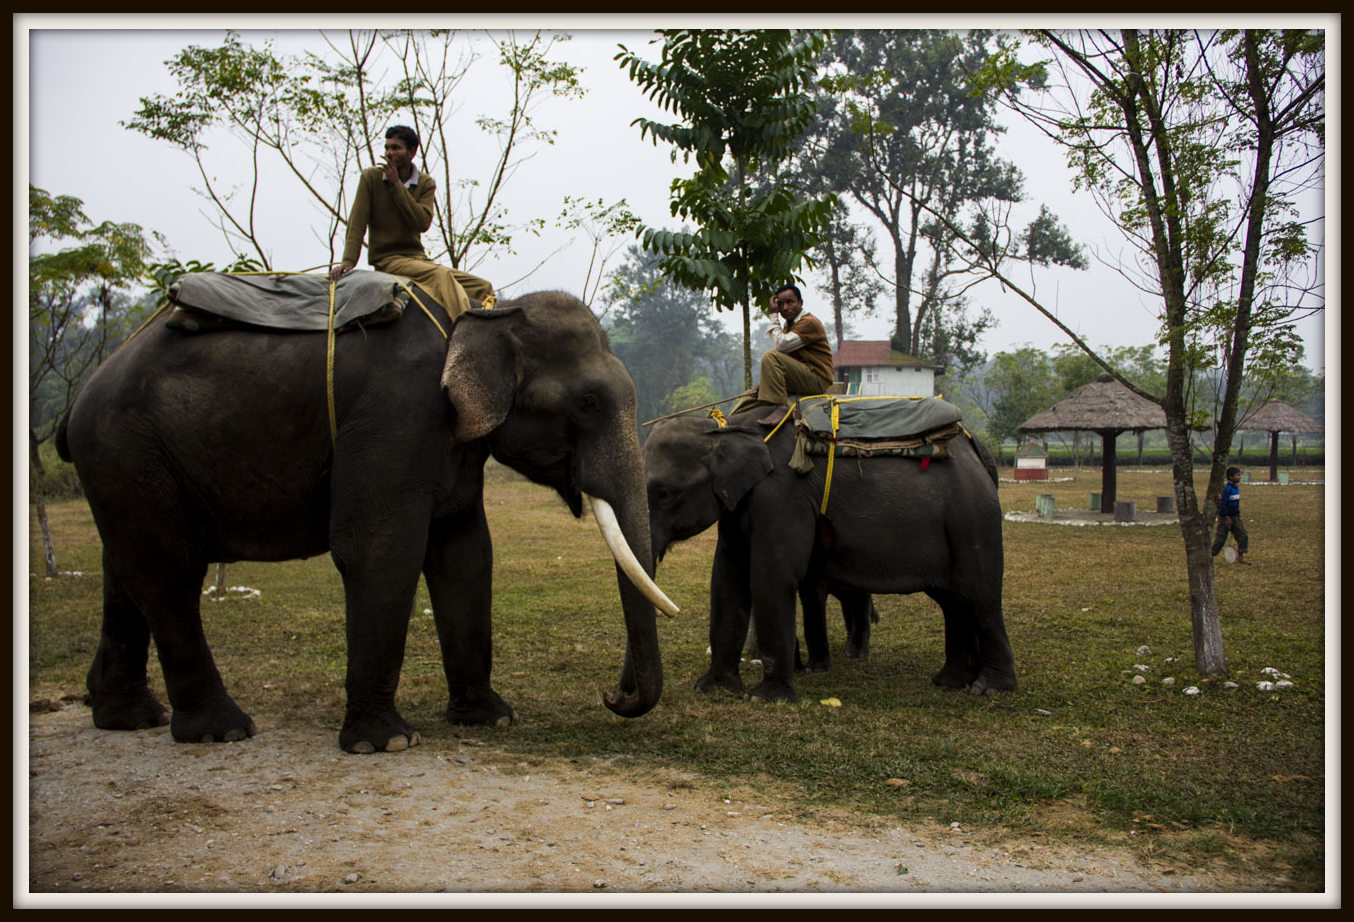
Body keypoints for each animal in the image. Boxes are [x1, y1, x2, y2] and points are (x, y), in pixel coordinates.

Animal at [57, 286, 675, 753]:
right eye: (588, 403)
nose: (610, 696)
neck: (479, 311)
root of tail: (82, 393)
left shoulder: (451, 444)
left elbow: (465, 552)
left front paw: (492, 718)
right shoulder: (398, 415)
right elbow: (379, 549)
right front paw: (387, 743)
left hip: (127, 465)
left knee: (126, 567)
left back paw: (131, 718)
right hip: (125, 448)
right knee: (169, 572)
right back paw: (222, 731)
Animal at [644, 408, 1015, 703]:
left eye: (664, 493)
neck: (729, 427)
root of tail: (979, 451)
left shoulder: (783, 496)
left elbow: (771, 577)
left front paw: (767, 699)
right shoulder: (737, 507)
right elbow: (726, 579)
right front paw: (713, 688)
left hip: (972, 517)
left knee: (980, 594)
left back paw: (990, 688)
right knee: (953, 600)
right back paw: (948, 682)